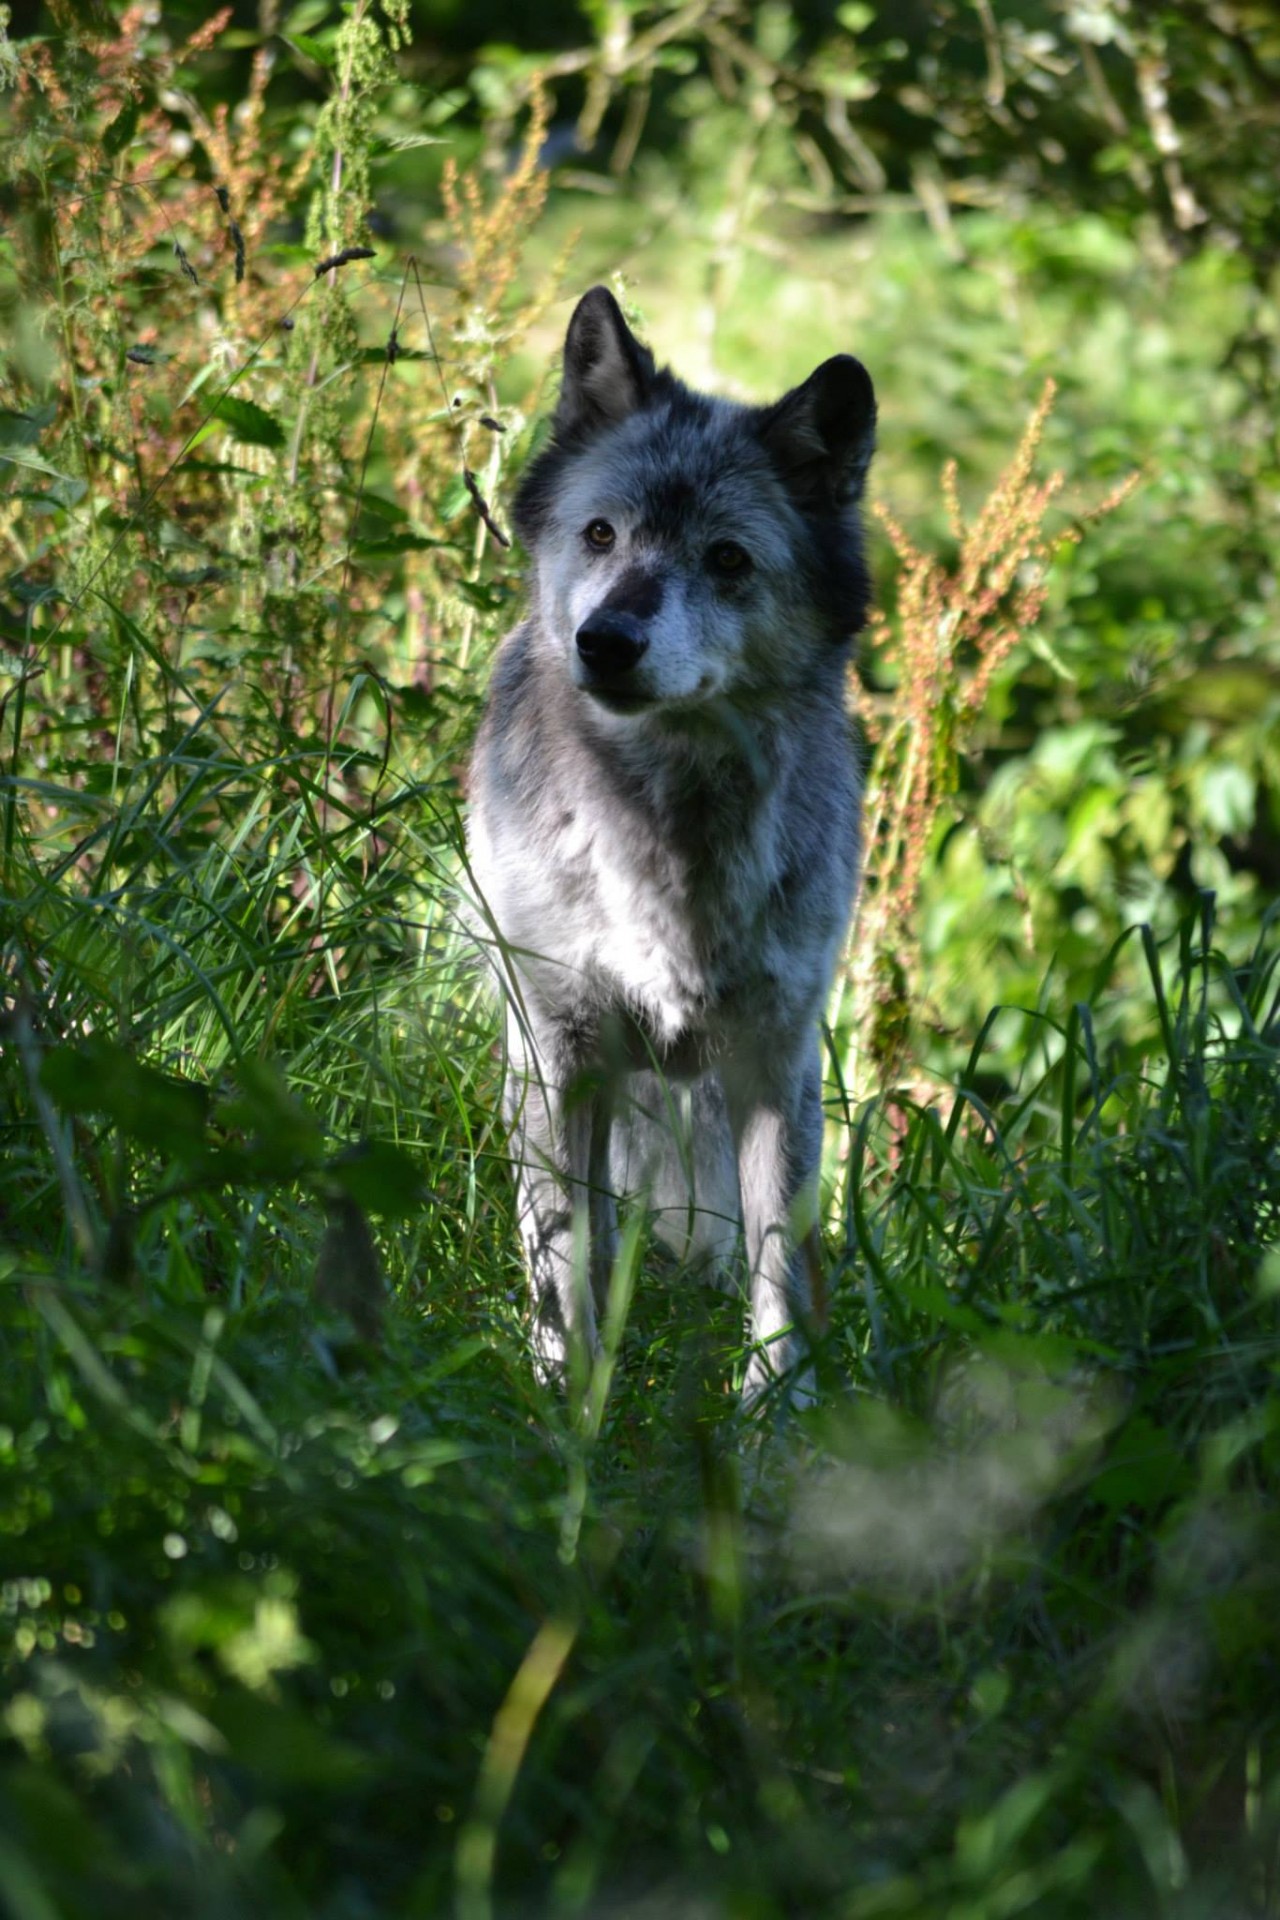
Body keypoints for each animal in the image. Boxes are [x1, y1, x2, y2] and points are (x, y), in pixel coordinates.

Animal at [470, 288, 882, 1397]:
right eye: (600, 533)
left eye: (727, 558)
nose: (605, 641)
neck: (668, 826)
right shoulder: (566, 1053)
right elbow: (567, 1265)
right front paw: (569, 1408)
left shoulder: (775, 1062)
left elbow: (779, 1279)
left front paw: (773, 1421)